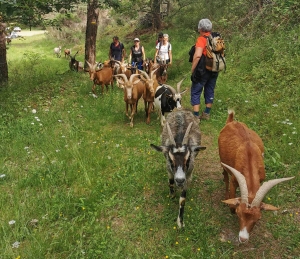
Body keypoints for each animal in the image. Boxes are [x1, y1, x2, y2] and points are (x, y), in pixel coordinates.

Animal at [219, 109, 294, 244]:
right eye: (238, 214)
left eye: (258, 218)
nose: (243, 239)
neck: (250, 159)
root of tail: (232, 122)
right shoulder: (234, 180)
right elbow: (232, 199)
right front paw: (230, 205)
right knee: (225, 176)